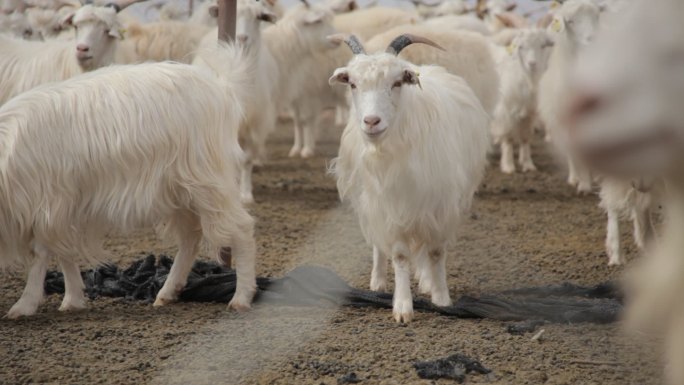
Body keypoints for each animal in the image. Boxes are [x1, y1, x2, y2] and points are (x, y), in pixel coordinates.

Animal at [0, 42, 258, 318]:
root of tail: (221, 88)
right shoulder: (60, 205)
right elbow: (63, 251)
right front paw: (72, 299)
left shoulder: (46, 201)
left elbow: (42, 252)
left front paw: (24, 305)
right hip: (178, 190)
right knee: (190, 236)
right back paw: (167, 292)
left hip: (207, 180)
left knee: (241, 228)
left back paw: (241, 297)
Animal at [332, 33, 492, 320]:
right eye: (352, 83)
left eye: (396, 83)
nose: (371, 121)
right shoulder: (389, 207)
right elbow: (400, 255)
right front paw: (403, 307)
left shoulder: (440, 204)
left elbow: (436, 252)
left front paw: (441, 298)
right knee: (379, 244)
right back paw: (378, 281)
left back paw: (427, 281)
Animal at [488, 29, 552, 173]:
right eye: (521, 47)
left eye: (542, 46)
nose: (532, 63)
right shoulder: (505, 112)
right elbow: (509, 138)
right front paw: (508, 166)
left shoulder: (529, 113)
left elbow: (525, 137)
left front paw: (527, 164)